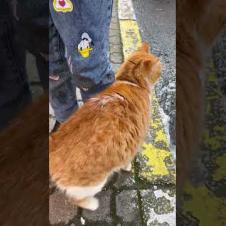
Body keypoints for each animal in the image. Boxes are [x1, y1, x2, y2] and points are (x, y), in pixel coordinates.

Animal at [49, 43, 161, 211]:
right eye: (160, 68)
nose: (163, 71)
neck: (131, 82)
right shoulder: (135, 141)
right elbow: (128, 158)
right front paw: (127, 167)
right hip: (94, 183)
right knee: (75, 199)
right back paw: (92, 204)